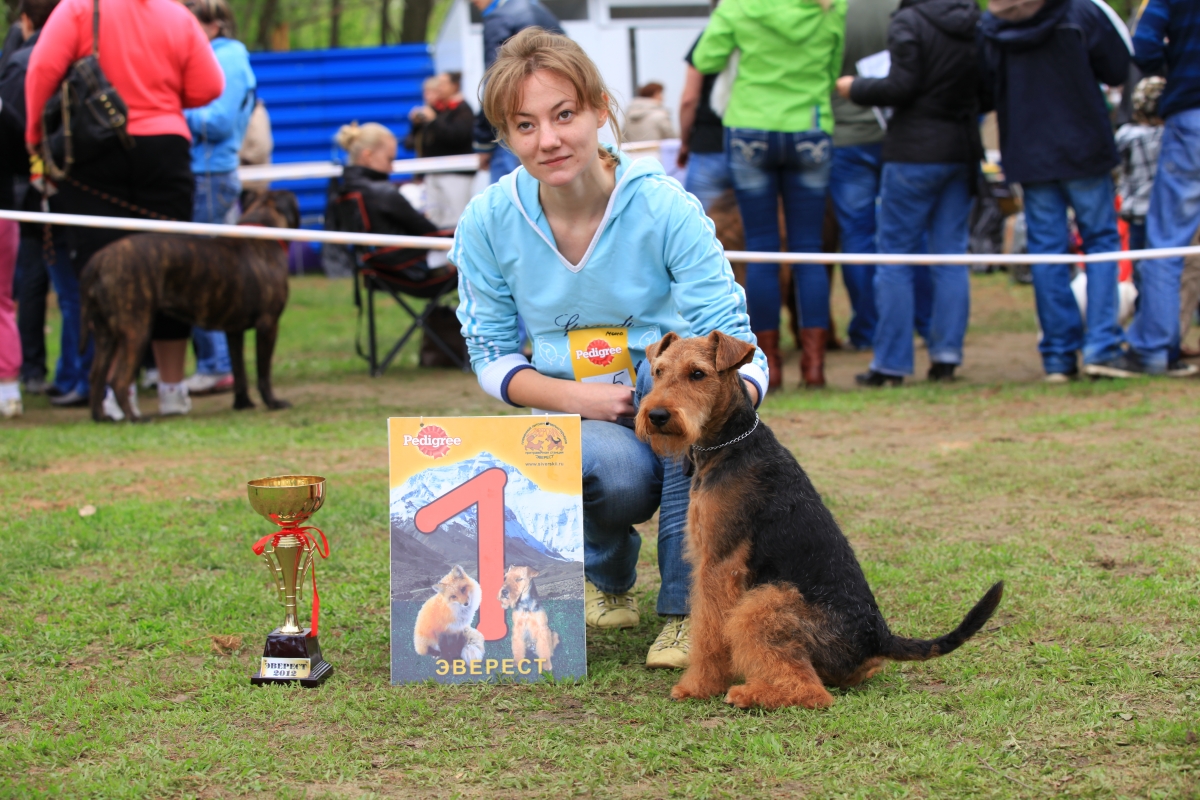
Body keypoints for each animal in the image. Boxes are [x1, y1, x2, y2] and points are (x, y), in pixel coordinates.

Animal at [81, 190, 300, 422]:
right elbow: (263, 372)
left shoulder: (234, 331)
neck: (262, 230)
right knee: (119, 379)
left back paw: (100, 416)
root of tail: (98, 261)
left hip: (105, 333)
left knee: (96, 375)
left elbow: (239, 371)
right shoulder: (268, 325)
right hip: (136, 330)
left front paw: (242, 403)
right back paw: (135, 418)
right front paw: (273, 402)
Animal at [638, 331, 1003, 714]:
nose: (657, 415)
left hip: (762, 603)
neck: (730, 443)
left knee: (811, 690)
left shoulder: (719, 563)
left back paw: (747, 693)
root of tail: (879, 638)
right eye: (658, 371)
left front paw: (698, 686)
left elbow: (709, 632)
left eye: (697, 374)